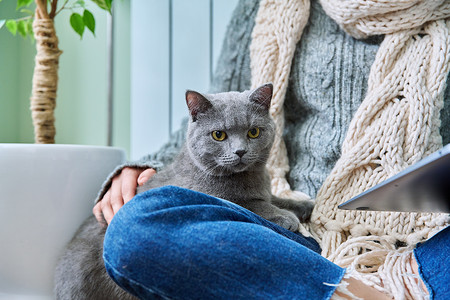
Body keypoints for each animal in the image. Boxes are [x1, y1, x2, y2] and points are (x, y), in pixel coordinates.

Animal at [53, 84, 312, 300]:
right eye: (219, 135)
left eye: (253, 132)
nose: (240, 151)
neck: (251, 179)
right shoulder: (223, 197)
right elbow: (253, 204)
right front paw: (286, 217)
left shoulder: (266, 191)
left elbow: (276, 198)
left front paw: (305, 206)